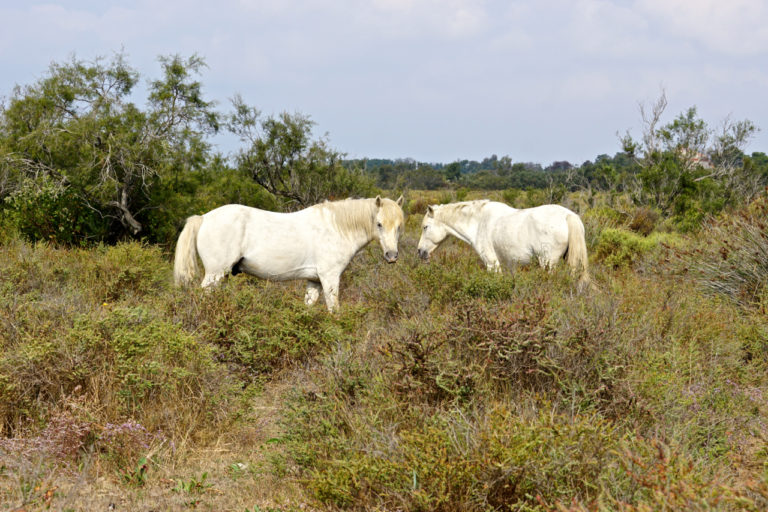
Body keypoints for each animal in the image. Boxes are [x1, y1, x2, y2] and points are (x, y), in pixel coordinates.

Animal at [174, 195, 405, 312]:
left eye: (399, 226)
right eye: (379, 224)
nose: (392, 256)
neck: (336, 227)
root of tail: (203, 218)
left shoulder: (315, 281)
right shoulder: (329, 278)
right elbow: (334, 310)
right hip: (214, 274)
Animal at [417, 200, 590, 287]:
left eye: (425, 227)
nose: (420, 252)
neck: (478, 222)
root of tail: (568, 215)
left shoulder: (492, 264)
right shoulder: (509, 265)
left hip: (548, 263)